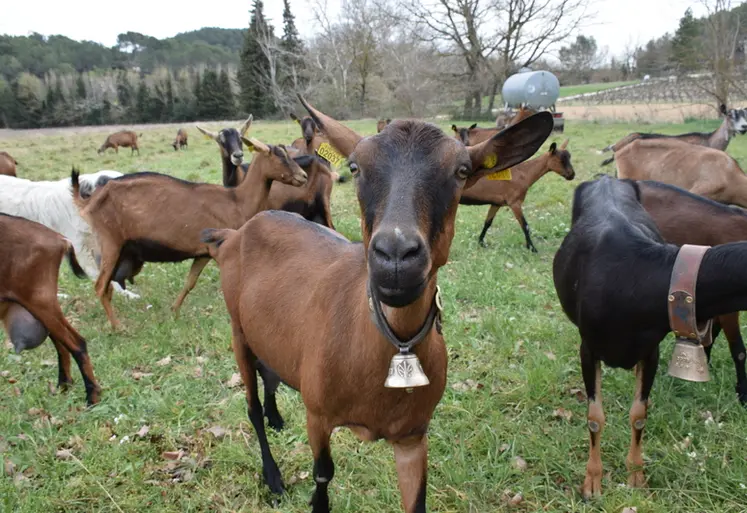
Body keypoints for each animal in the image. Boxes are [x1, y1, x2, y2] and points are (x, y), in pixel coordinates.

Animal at [0, 212, 100, 404]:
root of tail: (59, 239)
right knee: (62, 345)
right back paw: (64, 386)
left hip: (40, 301)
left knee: (77, 343)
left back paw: (92, 397)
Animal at [72, 137, 310, 328]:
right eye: (280, 155)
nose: (304, 176)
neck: (236, 201)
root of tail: (90, 201)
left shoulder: (202, 253)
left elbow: (189, 283)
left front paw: (174, 312)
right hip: (110, 242)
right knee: (100, 286)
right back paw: (117, 326)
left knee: (107, 285)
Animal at [200, 95, 556, 508]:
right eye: (355, 167)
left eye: (462, 170)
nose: (396, 257)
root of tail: (236, 234)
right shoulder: (317, 415)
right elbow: (323, 476)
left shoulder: (413, 437)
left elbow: (417, 499)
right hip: (237, 329)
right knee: (252, 406)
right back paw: (272, 476)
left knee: (269, 373)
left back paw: (276, 418)